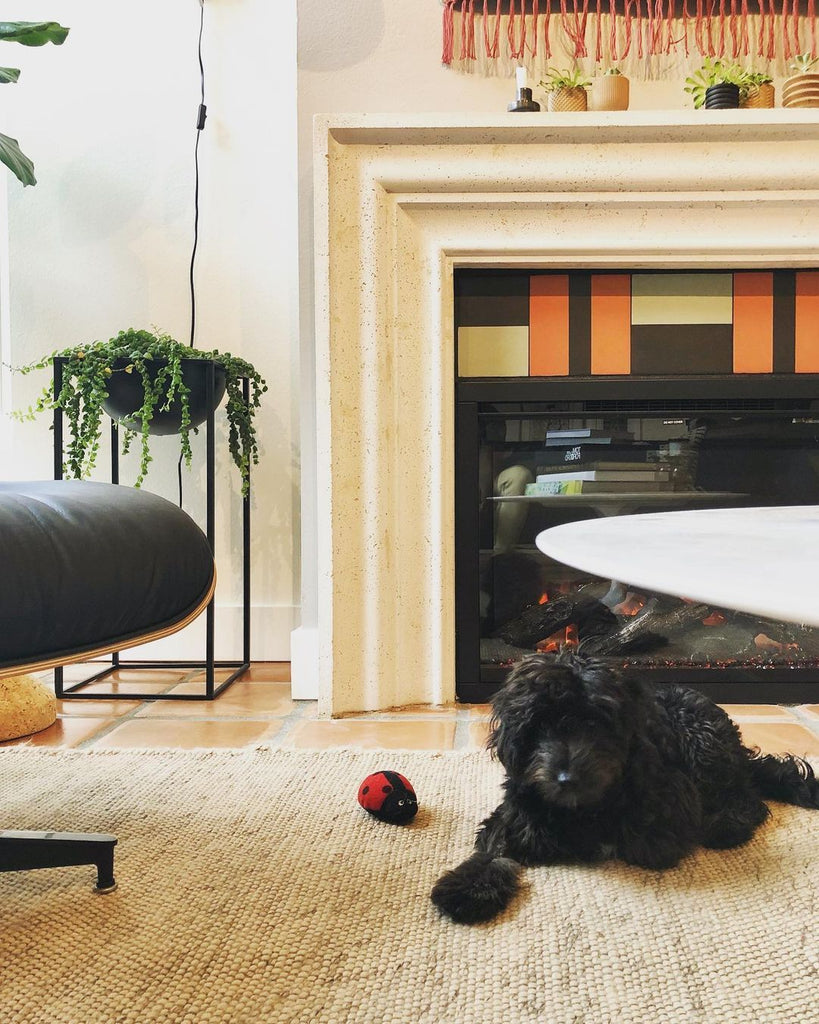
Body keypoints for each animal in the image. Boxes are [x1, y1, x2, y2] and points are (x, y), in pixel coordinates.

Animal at [432, 651, 814, 925]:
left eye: (594, 723)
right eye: (539, 726)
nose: (566, 778)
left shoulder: (671, 810)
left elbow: (637, 837)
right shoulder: (514, 811)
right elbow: (495, 847)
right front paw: (468, 889)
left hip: (704, 745)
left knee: (746, 795)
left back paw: (727, 824)